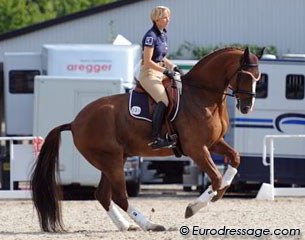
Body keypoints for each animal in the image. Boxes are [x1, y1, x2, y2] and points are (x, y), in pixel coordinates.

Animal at [32, 47, 262, 232]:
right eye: (245, 75)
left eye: (258, 78)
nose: (246, 107)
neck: (202, 96)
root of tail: (75, 122)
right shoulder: (196, 148)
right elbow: (216, 178)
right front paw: (193, 207)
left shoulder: (213, 143)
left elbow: (234, 160)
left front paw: (217, 192)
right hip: (111, 160)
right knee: (120, 196)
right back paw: (150, 225)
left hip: (114, 159)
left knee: (103, 195)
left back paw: (126, 225)